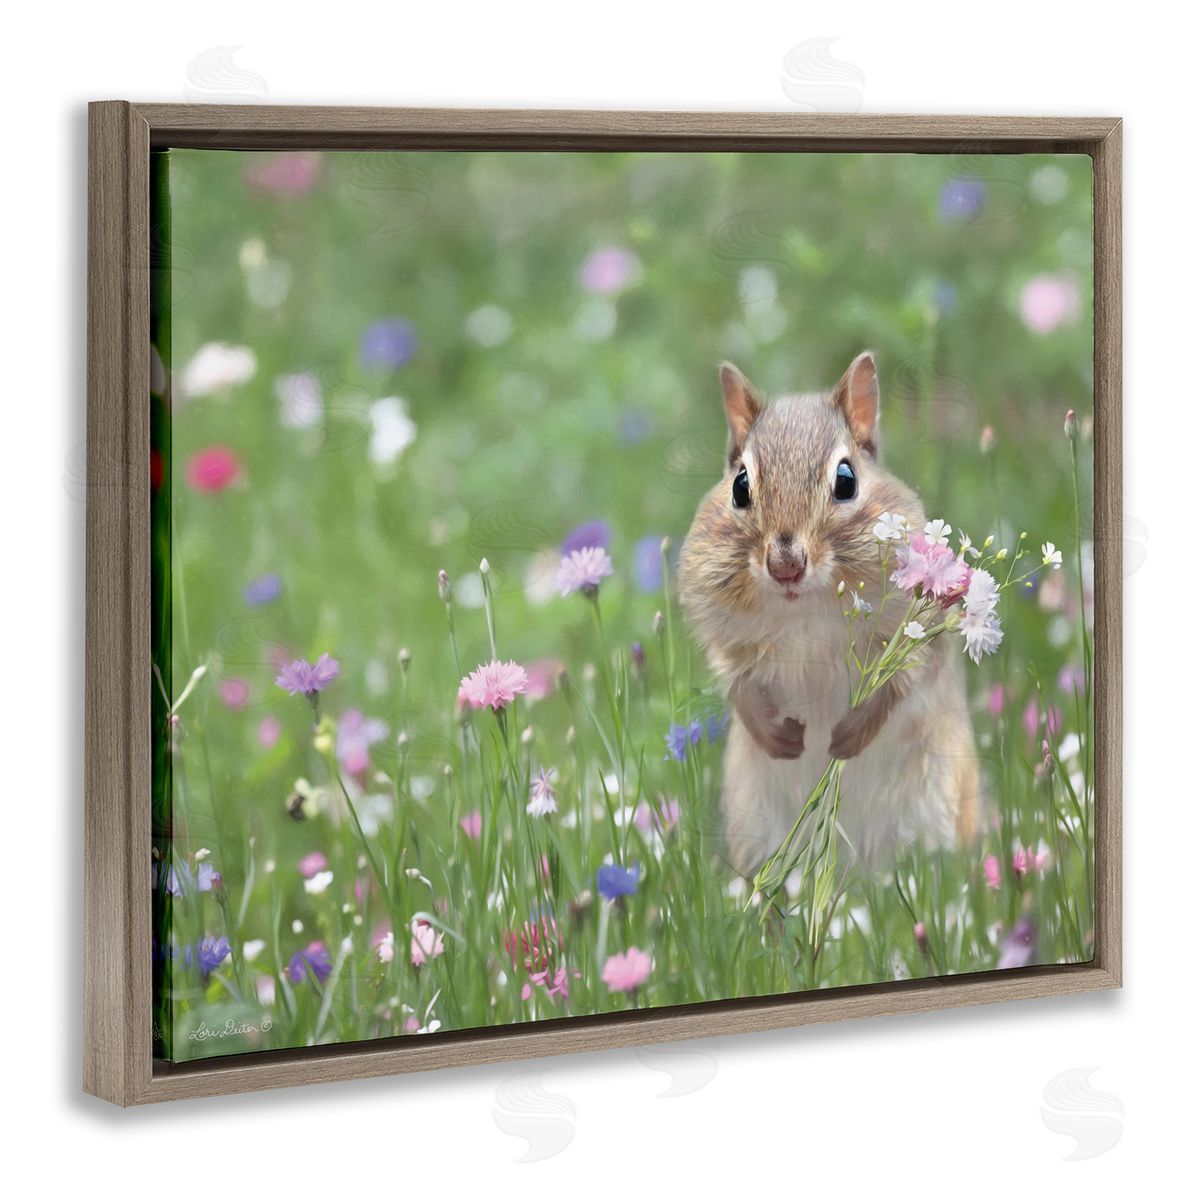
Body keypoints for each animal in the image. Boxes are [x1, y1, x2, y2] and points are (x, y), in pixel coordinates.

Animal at [679, 352, 979, 876]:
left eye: (846, 480)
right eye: (739, 486)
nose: (785, 566)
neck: (803, 610)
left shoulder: (915, 635)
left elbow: (902, 684)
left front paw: (847, 738)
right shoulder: (726, 636)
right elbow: (736, 682)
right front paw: (779, 738)